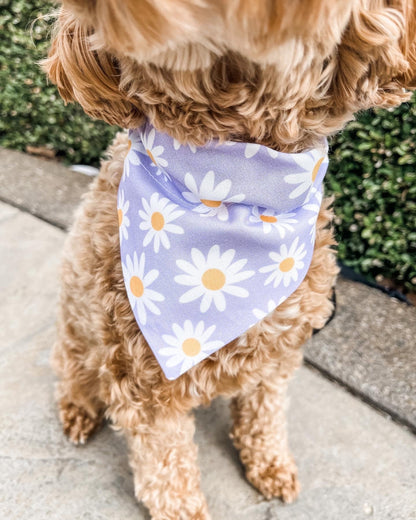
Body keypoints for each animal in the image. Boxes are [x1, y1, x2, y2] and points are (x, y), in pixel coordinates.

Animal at [43, 2, 416, 516]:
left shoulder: (278, 352)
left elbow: (265, 414)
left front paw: (270, 464)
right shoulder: (142, 379)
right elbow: (168, 469)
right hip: (79, 337)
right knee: (74, 376)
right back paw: (77, 410)